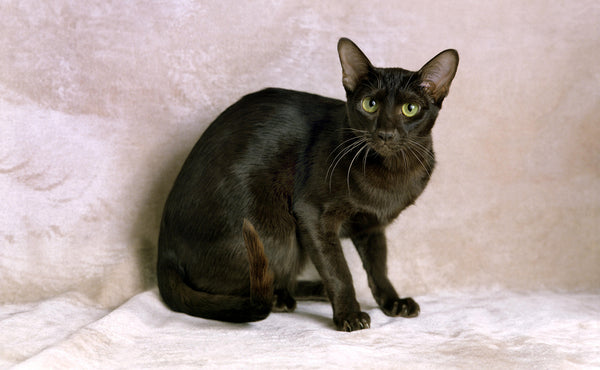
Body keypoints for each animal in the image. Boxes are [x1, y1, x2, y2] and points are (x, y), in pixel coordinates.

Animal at [157, 38, 458, 332]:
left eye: (410, 109)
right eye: (370, 104)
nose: (386, 133)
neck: (391, 173)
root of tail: (165, 254)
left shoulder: (372, 226)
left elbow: (379, 268)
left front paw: (393, 302)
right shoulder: (313, 215)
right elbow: (338, 269)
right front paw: (349, 315)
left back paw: (313, 290)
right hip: (277, 232)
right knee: (248, 286)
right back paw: (280, 299)